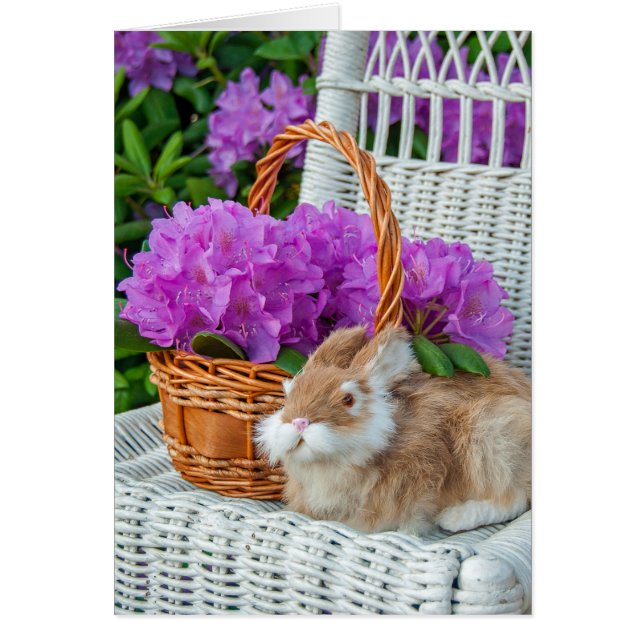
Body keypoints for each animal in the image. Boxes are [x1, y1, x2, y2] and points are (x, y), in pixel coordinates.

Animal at [254, 325, 531, 536]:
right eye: (288, 395)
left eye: (348, 399)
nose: (299, 422)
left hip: (489, 438)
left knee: (515, 499)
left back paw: (455, 518)